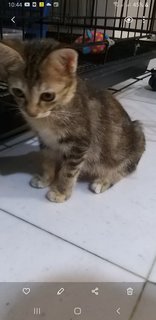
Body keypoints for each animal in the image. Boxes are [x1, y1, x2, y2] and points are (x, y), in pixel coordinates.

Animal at [0, 38, 145, 202]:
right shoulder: (45, 140)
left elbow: (68, 172)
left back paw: (103, 180)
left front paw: (61, 192)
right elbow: (47, 160)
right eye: (18, 92)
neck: (51, 116)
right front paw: (46, 179)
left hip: (136, 138)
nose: (31, 112)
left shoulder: (79, 144)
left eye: (47, 96)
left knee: (126, 169)